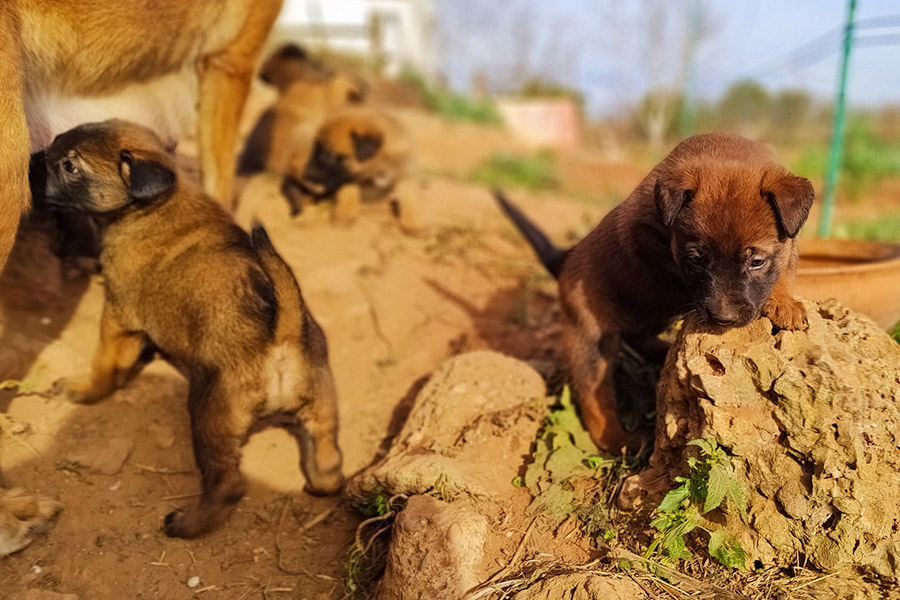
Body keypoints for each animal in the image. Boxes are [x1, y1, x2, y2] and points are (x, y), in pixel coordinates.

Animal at [29, 119, 344, 536]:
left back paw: (188, 524)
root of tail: (283, 333)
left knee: (227, 485)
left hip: (209, 415)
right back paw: (320, 482)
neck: (152, 205)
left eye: (69, 166)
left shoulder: (118, 317)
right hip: (321, 409)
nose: (31, 160)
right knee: (329, 460)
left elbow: (105, 365)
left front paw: (86, 390)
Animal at [284, 106, 420, 231]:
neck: (377, 170)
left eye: (329, 155)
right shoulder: (346, 178)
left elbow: (411, 196)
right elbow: (348, 191)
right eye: (315, 150)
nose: (307, 173)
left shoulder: (407, 172)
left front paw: (412, 223)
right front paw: (344, 216)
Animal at [500, 131, 816, 450]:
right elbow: (673, 268)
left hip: (650, 319)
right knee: (594, 400)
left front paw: (784, 302)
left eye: (757, 261)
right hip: (590, 341)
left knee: (637, 339)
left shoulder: (790, 242)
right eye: (695, 260)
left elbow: (783, 268)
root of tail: (566, 258)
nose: (722, 318)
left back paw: (662, 352)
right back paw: (620, 441)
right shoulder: (643, 237)